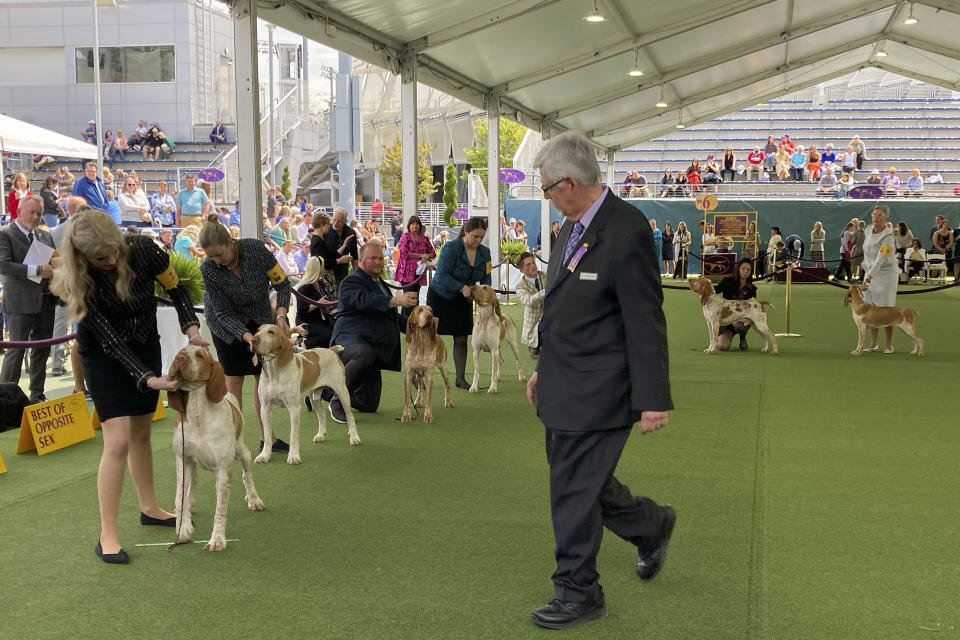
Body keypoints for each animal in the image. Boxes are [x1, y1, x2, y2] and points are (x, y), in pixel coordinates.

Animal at [166, 344, 262, 552]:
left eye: (199, 355)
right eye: (180, 352)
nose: (179, 358)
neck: (197, 413)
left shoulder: (223, 470)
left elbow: (220, 509)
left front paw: (217, 539)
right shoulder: (182, 459)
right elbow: (179, 495)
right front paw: (183, 527)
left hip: (243, 452)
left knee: (247, 476)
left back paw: (254, 499)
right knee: (193, 481)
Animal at [251, 322, 360, 462]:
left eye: (271, 332)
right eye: (258, 330)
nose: (253, 340)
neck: (275, 372)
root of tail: (330, 350)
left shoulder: (294, 408)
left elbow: (293, 435)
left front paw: (293, 456)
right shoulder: (265, 407)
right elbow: (267, 435)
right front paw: (264, 455)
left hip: (342, 392)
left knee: (349, 416)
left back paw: (354, 437)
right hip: (314, 398)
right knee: (322, 415)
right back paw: (320, 435)